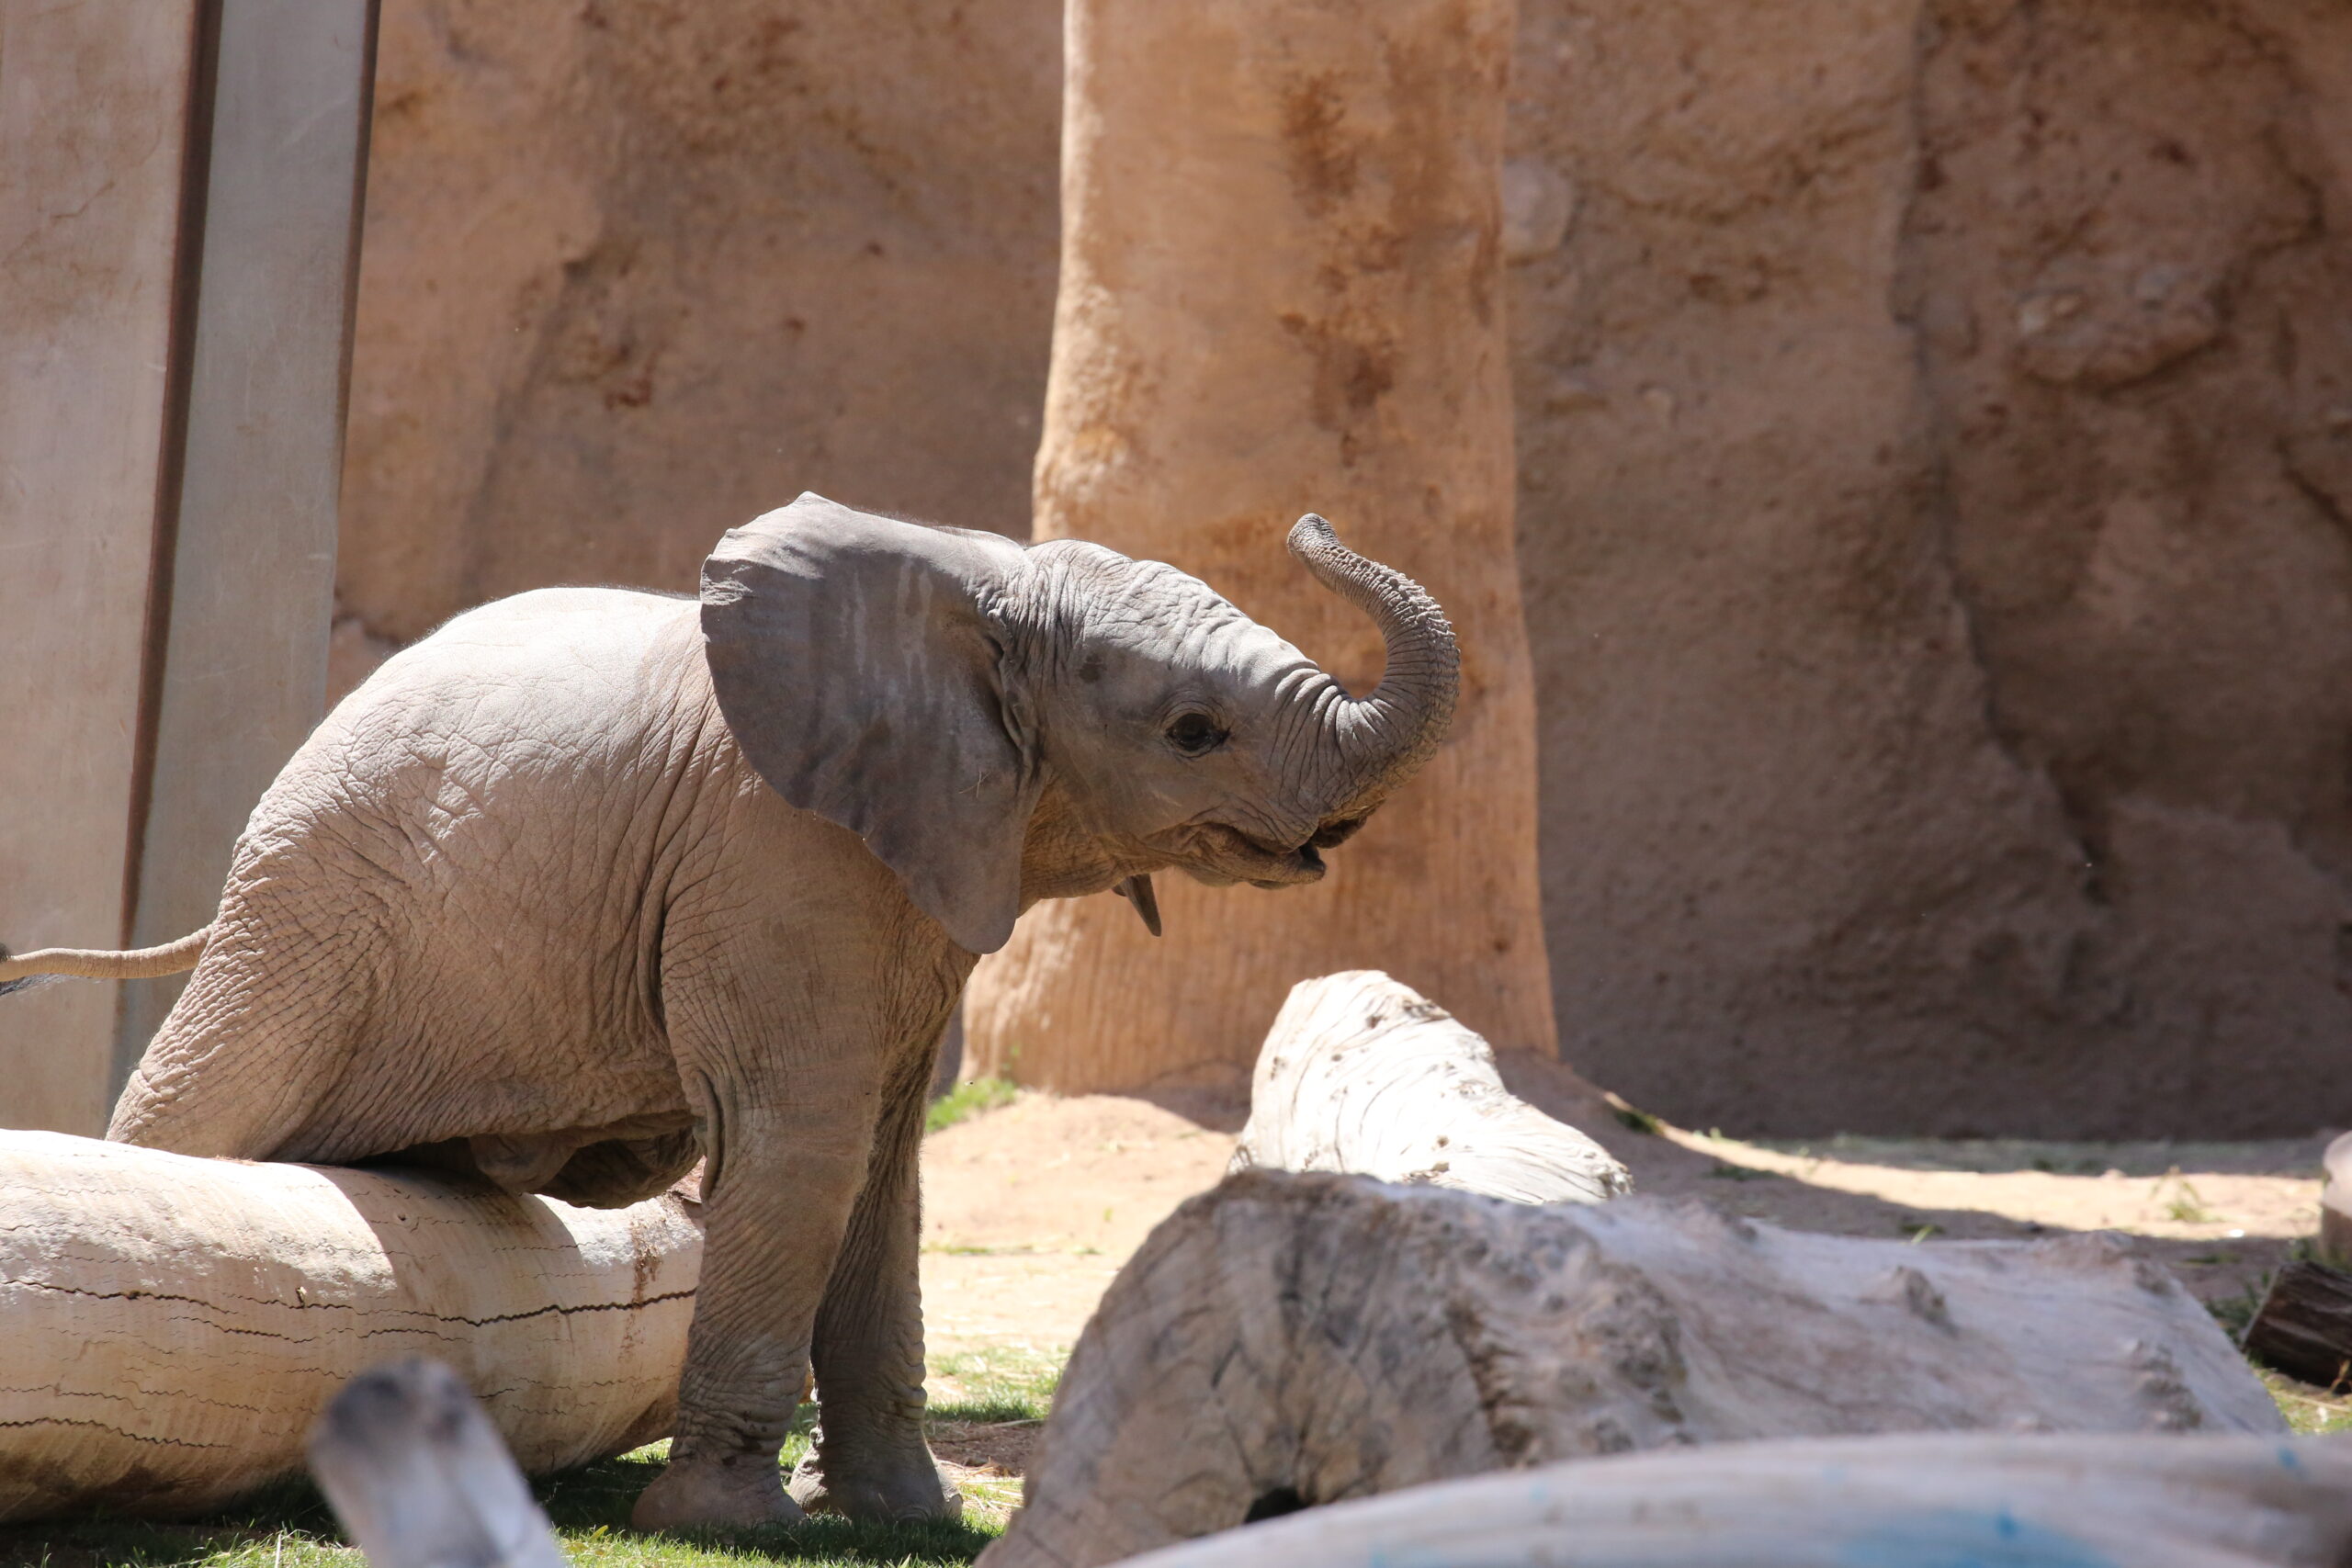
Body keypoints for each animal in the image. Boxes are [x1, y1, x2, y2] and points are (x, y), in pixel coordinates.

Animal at [0, 493, 1448, 1532]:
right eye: (1193, 731)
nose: (1311, 519)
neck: (984, 585)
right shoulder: (773, 843)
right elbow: (805, 1143)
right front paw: (733, 1525)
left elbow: (884, 1168)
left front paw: (904, 1518)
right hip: (307, 918)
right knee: (191, 1133)